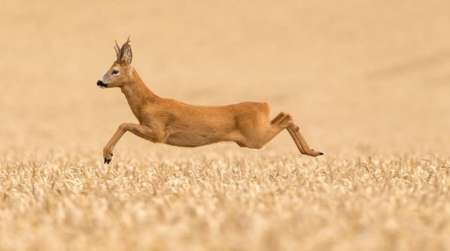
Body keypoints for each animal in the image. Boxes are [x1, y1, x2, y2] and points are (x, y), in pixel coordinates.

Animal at [97, 37, 324, 163]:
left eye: (115, 70)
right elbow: (124, 124)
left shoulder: (158, 132)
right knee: (285, 115)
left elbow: (123, 124)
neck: (148, 104)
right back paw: (313, 151)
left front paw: (107, 155)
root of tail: (263, 105)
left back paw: (313, 151)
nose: (100, 81)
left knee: (286, 117)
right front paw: (107, 155)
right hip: (255, 134)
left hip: (254, 138)